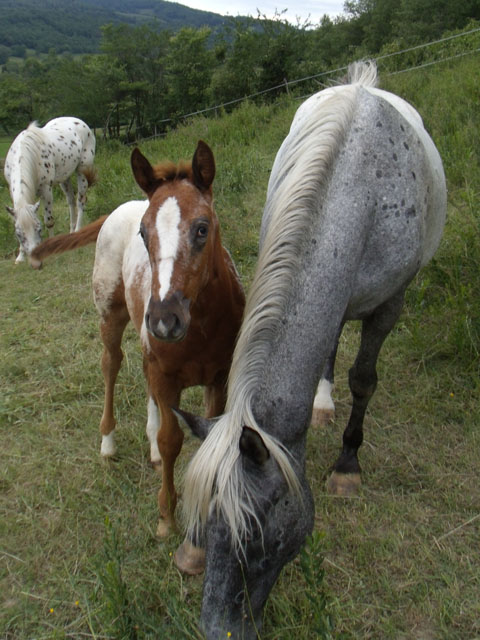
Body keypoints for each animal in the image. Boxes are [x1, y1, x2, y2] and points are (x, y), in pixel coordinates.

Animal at [4, 116, 96, 264]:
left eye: (39, 229)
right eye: (18, 234)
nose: (34, 259)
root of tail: (79, 121)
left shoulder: (46, 190)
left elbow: (49, 220)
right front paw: (20, 257)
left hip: (82, 171)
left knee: (80, 201)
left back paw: (77, 230)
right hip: (64, 178)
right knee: (70, 201)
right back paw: (71, 232)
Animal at [31, 142, 244, 552]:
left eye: (202, 228)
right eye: (144, 234)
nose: (164, 319)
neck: (201, 329)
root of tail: (120, 208)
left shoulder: (219, 377)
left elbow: (209, 435)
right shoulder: (166, 375)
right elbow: (172, 439)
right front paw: (166, 519)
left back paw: (149, 450)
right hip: (110, 316)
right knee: (111, 364)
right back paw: (108, 444)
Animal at [175, 58, 446, 636]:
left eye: (258, 535)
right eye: (203, 523)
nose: (219, 629)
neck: (358, 191)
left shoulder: (391, 305)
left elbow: (364, 378)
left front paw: (348, 466)